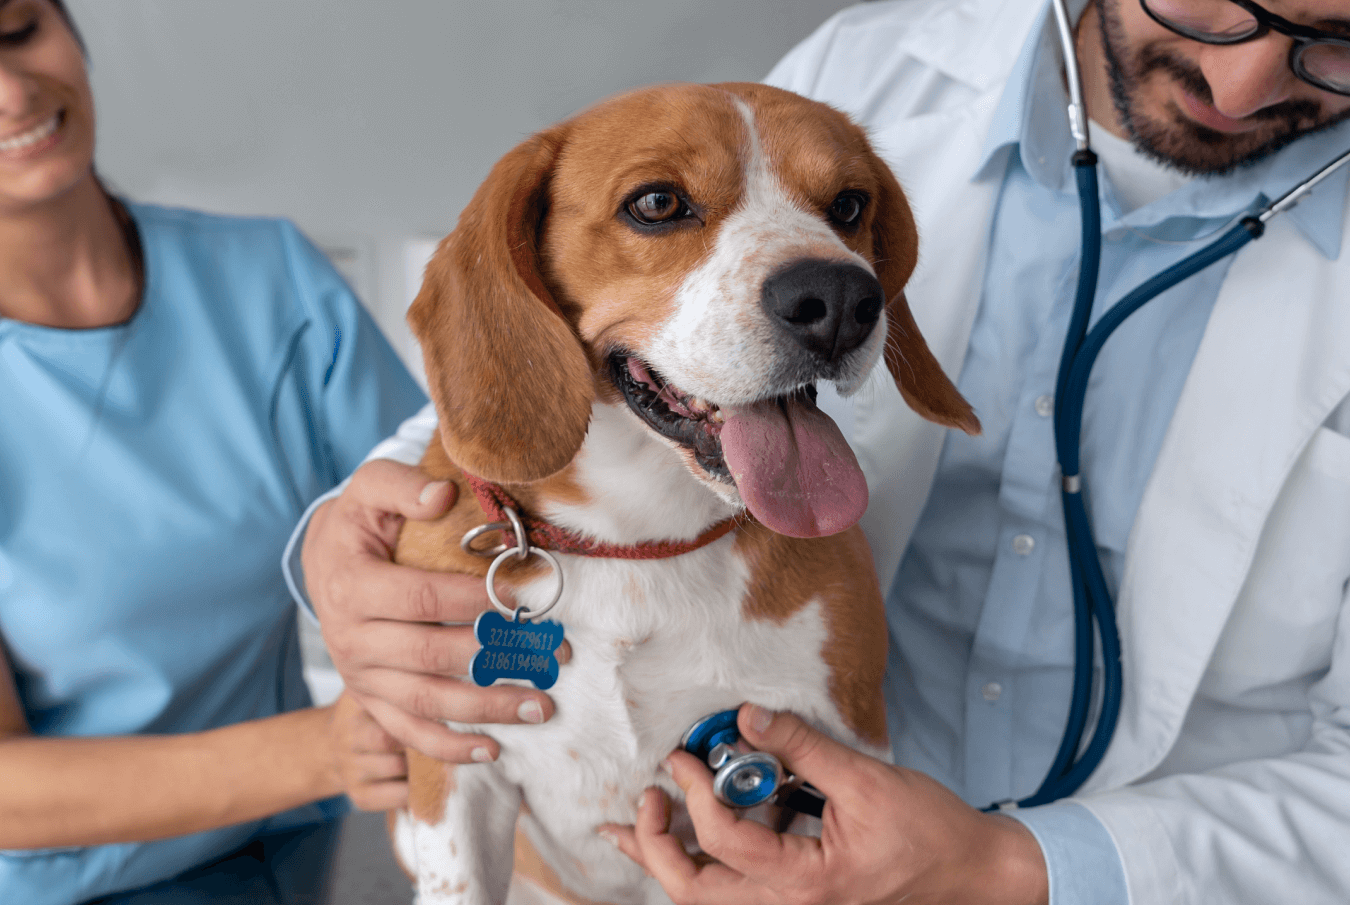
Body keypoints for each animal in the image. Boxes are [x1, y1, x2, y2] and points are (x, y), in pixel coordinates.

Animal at [386, 83, 977, 905]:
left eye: (849, 204)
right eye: (658, 203)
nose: (839, 298)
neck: (639, 543)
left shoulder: (849, 743)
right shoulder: (454, 775)